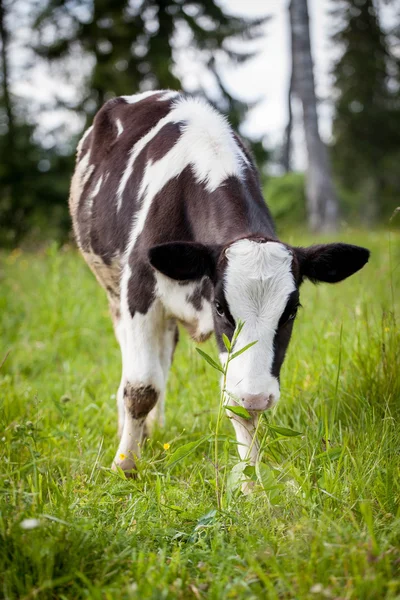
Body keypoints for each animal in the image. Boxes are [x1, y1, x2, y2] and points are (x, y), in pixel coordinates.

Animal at [69, 90, 368, 474]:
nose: (258, 396)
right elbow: (141, 388)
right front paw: (125, 465)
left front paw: (250, 479)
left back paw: (154, 429)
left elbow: (236, 402)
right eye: (221, 307)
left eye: (291, 312)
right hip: (112, 289)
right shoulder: (139, 290)